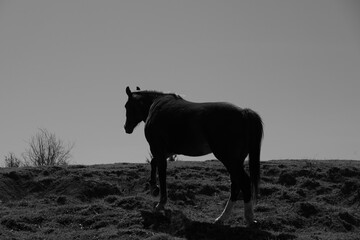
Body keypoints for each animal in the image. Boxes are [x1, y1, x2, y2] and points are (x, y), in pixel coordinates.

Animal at [125, 86, 262, 227]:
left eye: (127, 106)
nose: (126, 127)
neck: (156, 105)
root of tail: (244, 112)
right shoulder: (167, 151)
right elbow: (153, 163)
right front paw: (153, 188)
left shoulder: (158, 148)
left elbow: (161, 172)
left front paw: (160, 203)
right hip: (235, 161)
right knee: (235, 185)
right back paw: (222, 218)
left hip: (230, 160)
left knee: (244, 183)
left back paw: (248, 218)